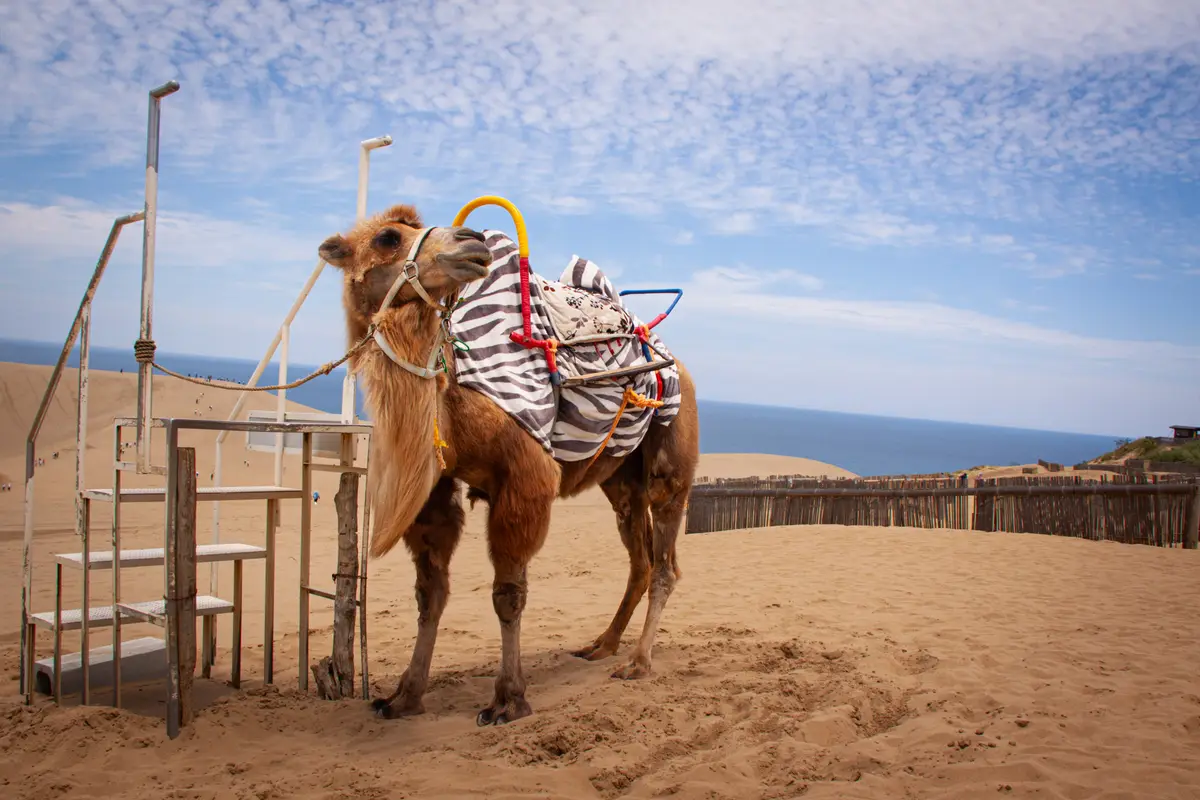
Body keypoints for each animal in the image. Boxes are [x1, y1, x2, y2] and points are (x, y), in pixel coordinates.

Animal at [317, 203, 700, 725]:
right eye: (388, 238)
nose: (470, 241)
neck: (455, 404)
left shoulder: (525, 480)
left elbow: (508, 594)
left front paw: (508, 700)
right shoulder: (436, 489)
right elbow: (430, 593)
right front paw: (403, 697)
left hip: (671, 451)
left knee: (664, 561)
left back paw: (638, 662)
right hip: (622, 477)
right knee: (639, 558)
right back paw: (603, 645)